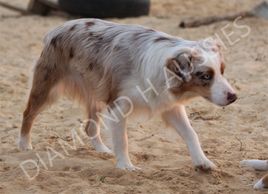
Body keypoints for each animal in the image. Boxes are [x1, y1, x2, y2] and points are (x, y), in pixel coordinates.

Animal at [18, 18, 237, 170]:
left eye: (222, 71)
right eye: (206, 76)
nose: (233, 97)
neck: (160, 68)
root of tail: (58, 28)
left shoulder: (169, 106)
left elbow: (191, 133)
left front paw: (202, 161)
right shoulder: (118, 105)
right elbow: (122, 139)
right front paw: (125, 166)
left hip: (97, 94)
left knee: (90, 127)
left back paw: (102, 150)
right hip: (47, 88)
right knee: (28, 113)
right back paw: (24, 144)